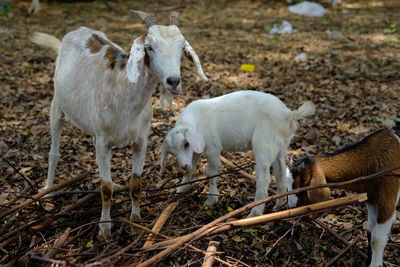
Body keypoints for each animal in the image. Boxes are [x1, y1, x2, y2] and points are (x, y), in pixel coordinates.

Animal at [31, 11, 208, 240]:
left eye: (181, 48)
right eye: (149, 47)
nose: (173, 81)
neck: (124, 90)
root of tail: (78, 31)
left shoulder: (141, 140)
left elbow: (136, 183)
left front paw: (135, 222)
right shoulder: (104, 142)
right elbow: (105, 188)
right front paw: (104, 228)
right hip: (57, 106)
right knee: (54, 152)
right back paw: (48, 190)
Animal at [288, 126, 400, 267]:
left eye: (303, 184)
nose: (292, 207)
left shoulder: (388, 196)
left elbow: (377, 237)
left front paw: (375, 264)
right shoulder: (372, 197)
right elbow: (369, 230)